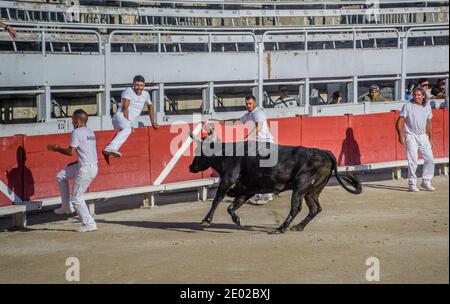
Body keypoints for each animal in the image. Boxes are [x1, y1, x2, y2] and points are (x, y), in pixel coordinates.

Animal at [189, 137, 362, 234]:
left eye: (199, 153)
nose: (191, 167)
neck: (227, 153)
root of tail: (325, 152)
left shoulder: (227, 181)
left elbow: (217, 200)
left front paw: (206, 221)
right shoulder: (248, 190)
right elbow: (231, 207)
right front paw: (238, 220)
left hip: (300, 188)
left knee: (296, 208)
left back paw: (280, 229)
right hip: (311, 191)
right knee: (315, 208)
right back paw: (298, 227)